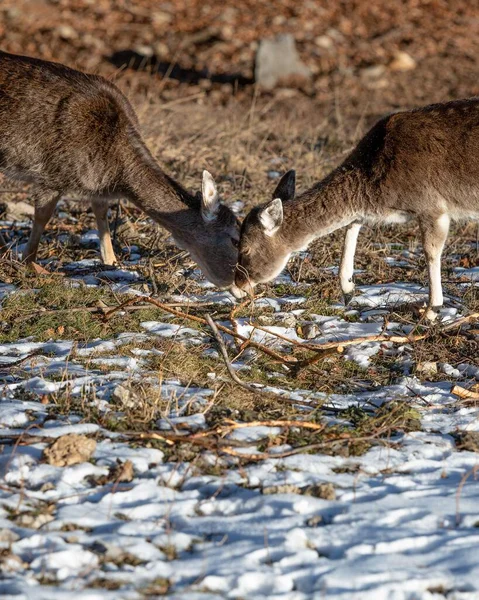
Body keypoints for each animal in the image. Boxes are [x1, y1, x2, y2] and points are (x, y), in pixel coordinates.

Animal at [0, 52, 246, 298]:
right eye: (235, 240)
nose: (245, 286)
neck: (114, 172)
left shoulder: (97, 189)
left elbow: (101, 212)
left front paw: (111, 261)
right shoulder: (51, 174)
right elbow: (43, 215)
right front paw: (29, 262)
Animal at [237, 99, 479, 318]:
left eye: (245, 249)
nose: (237, 286)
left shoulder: (432, 206)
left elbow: (431, 251)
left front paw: (431, 311)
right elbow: (352, 224)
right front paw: (348, 289)